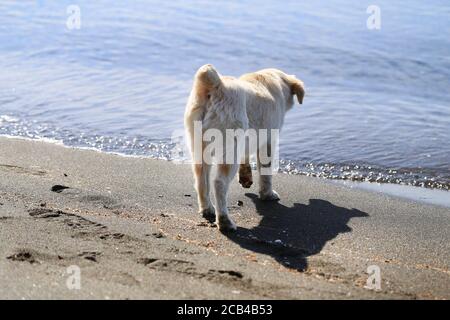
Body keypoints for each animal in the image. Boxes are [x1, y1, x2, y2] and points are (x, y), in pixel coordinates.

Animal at [184, 63, 306, 231]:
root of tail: (216, 85)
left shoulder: (249, 138)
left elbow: (246, 156)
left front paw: (246, 178)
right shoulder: (269, 140)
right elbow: (266, 172)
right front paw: (267, 194)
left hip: (200, 145)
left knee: (201, 178)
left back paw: (207, 209)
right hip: (229, 148)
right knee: (219, 183)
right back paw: (224, 221)